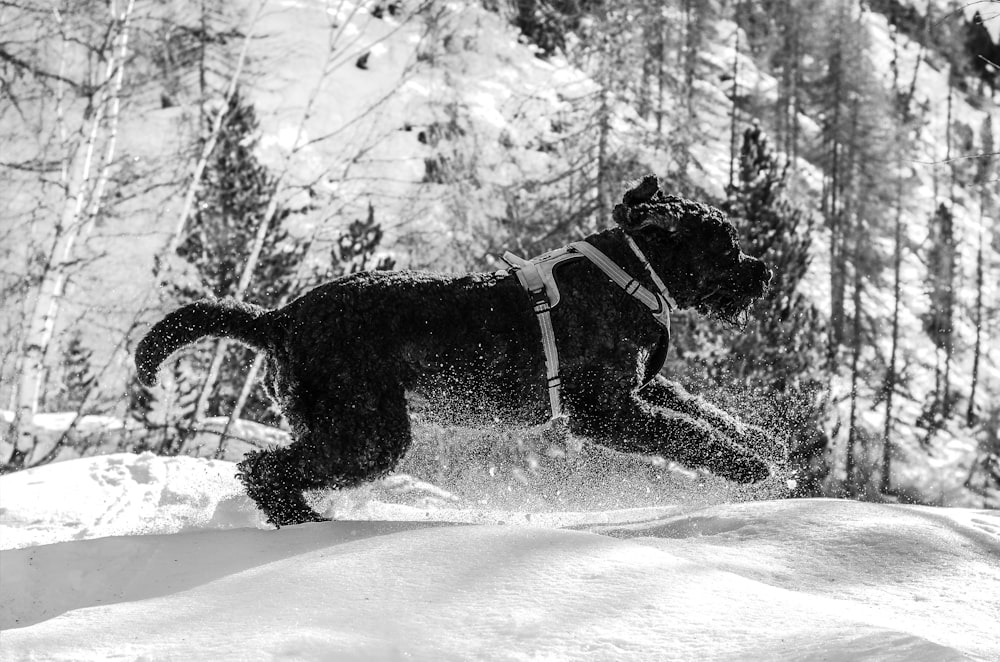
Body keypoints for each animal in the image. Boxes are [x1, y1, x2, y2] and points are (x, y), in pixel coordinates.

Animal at [137, 176, 772, 528]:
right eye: (726, 246)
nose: (763, 273)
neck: (631, 272)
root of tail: (281, 318)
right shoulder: (604, 410)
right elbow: (686, 435)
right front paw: (753, 469)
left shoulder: (641, 387)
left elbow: (704, 412)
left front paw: (765, 441)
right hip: (369, 430)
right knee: (262, 468)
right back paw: (306, 522)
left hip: (342, 423)